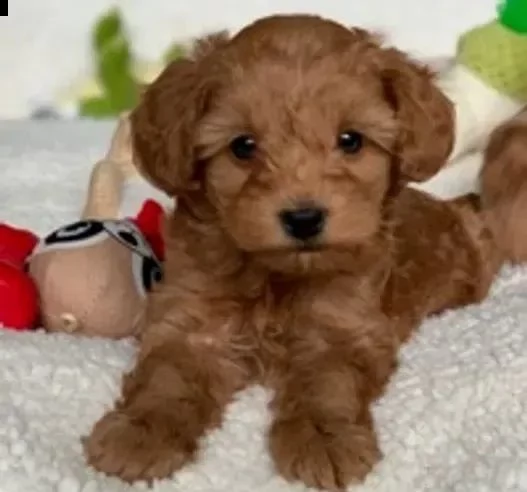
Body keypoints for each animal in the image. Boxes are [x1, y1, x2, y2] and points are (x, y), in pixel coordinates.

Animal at [84, 13, 506, 490]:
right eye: (243, 146)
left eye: (351, 140)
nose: (304, 218)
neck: (276, 276)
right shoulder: (191, 320)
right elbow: (166, 377)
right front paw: (141, 433)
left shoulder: (343, 327)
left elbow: (328, 384)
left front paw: (324, 438)